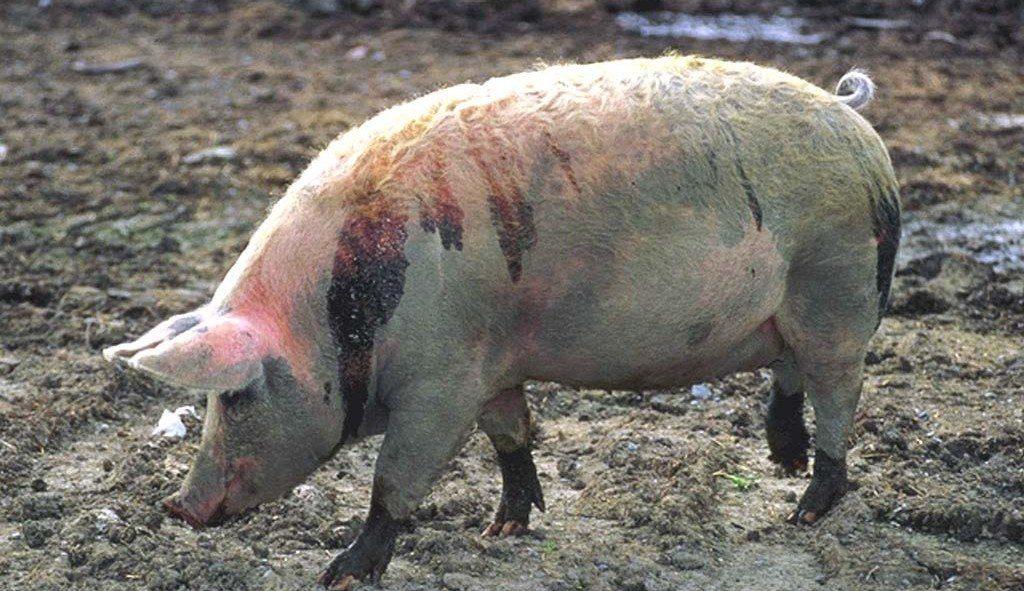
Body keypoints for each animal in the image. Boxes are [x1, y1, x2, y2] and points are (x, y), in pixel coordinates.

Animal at [104, 56, 900, 589]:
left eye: (236, 396)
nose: (178, 504)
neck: (337, 315)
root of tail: (853, 119)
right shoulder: (491, 366)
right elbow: (511, 437)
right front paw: (502, 528)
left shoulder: (442, 381)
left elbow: (396, 478)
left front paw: (341, 573)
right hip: (800, 306)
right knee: (789, 376)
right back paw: (783, 461)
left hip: (839, 290)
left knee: (838, 397)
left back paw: (805, 510)